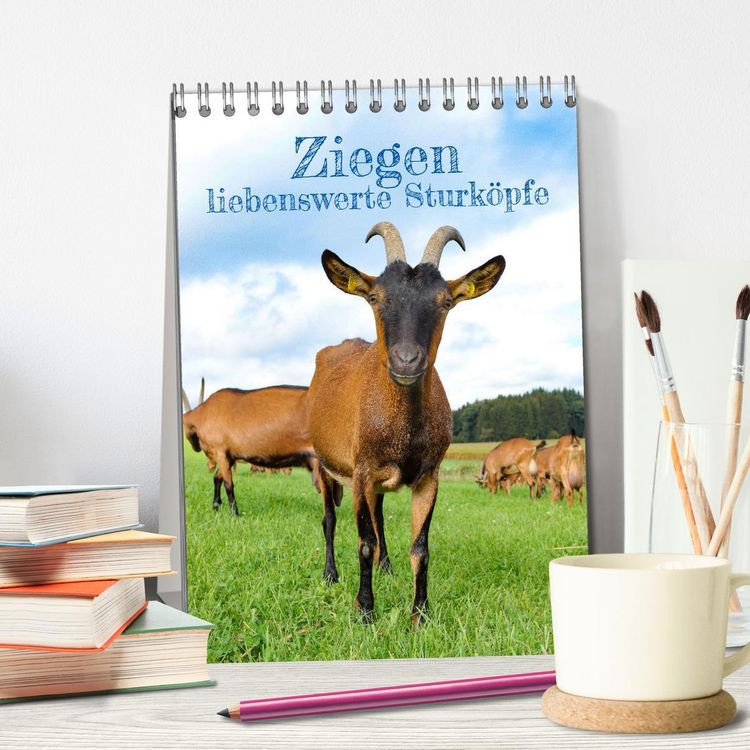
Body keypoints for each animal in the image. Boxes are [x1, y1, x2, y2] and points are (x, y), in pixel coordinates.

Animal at [183, 385, 327, 515]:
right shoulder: (229, 456)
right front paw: (215, 508)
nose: (195, 447)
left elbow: (228, 484)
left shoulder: (220, 451)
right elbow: (217, 478)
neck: (203, 414)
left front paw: (234, 515)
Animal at [307, 222, 505, 624]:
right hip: (324, 463)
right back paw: (331, 575)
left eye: (445, 302)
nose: (406, 361)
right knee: (330, 520)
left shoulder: (429, 475)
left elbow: (420, 548)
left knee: (380, 518)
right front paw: (365, 612)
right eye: (374, 298)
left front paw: (420, 615)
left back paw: (386, 567)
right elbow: (364, 542)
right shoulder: (362, 471)